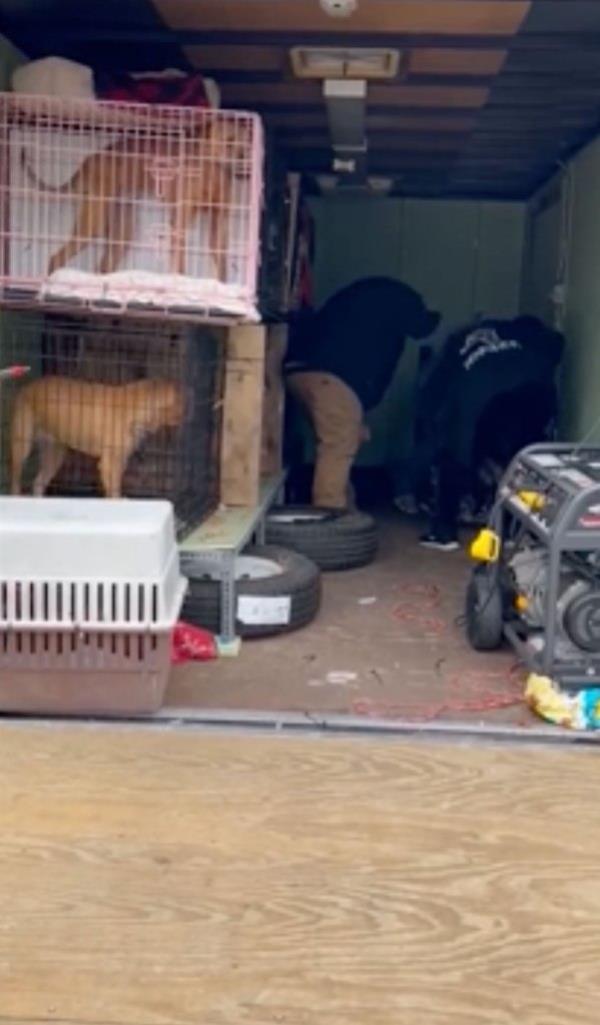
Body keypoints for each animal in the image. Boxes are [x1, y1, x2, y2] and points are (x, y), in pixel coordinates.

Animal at [9, 381, 182, 500]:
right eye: (181, 401)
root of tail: (27, 387)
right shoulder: (109, 464)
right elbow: (115, 492)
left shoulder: (119, 462)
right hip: (21, 449)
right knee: (15, 482)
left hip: (55, 455)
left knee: (38, 483)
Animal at [21, 117, 252, 280]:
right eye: (229, 142)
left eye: (246, 145)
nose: (244, 161)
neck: (213, 171)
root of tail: (88, 161)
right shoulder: (180, 219)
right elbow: (179, 262)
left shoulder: (219, 223)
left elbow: (221, 263)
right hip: (93, 222)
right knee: (56, 258)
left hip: (122, 229)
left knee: (102, 266)